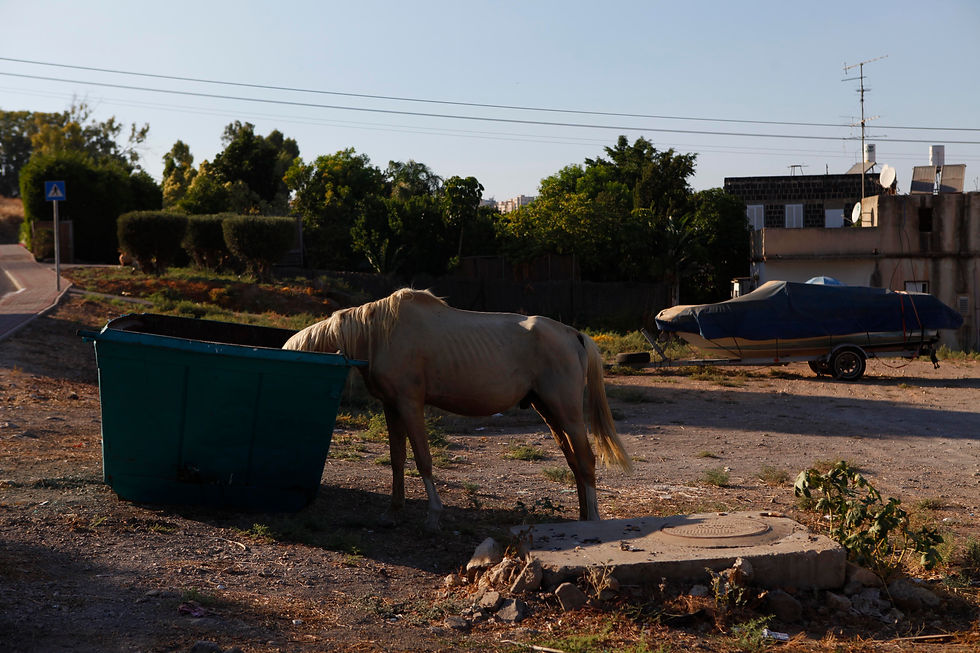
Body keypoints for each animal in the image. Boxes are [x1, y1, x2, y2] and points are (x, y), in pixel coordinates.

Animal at [283, 288, 631, 531]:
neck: (379, 334)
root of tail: (575, 335)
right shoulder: (391, 407)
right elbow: (397, 461)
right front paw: (392, 513)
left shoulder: (410, 404)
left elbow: (423, 459)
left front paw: (433, 517)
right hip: (548, 411)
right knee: (574, 462)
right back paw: (581, 520)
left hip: (567, 412)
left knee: (585, 460)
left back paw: (593, 521)